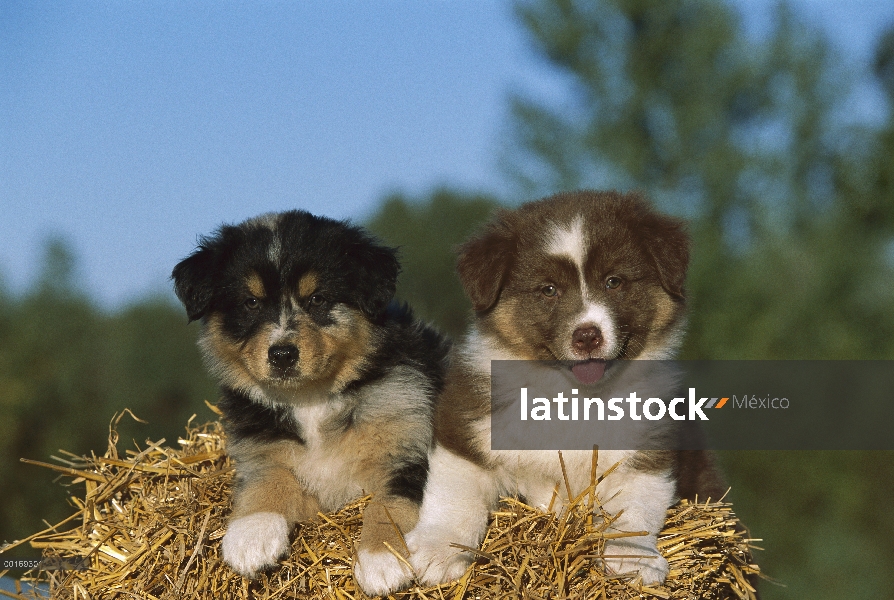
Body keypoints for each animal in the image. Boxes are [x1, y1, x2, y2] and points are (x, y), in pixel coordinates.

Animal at [170, 211, 448, 596]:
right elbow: (267, 482)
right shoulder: (262, 454)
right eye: (251, 303)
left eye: (317, 299)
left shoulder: (407, 451)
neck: (309, 399)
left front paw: (381, 559)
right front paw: (250, 535)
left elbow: (389, 504)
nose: (282, 355)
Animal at [402, 193, 724, 592]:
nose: (587, 336)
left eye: (614, 282)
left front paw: (632, 556)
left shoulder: (650, 443)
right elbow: (455, 490)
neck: (574, 394)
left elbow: (637, 503)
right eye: (548, 290)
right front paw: (439, 550)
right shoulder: (467, 422)